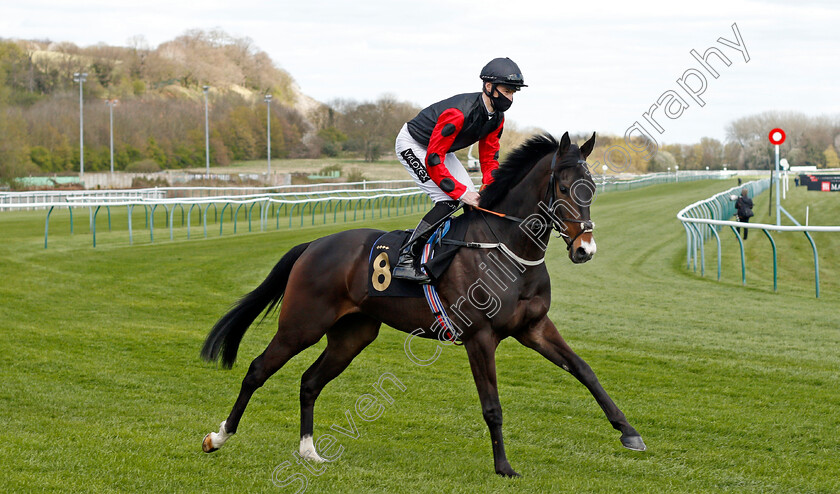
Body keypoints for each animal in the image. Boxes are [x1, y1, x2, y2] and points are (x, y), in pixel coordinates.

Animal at [200, 130, 648, 474]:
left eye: (592, 188)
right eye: (564, 187)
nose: (585, 249)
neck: (507, 249)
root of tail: (314, 244)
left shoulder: (533, 327)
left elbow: (585, 370)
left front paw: (629, 432)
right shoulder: (480, 336)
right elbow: (492, 406)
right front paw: (504, 466)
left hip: (352, 334)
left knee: (309, 382)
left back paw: (309, 450)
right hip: (302, 323)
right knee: (257, 370)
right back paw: (218, 437)